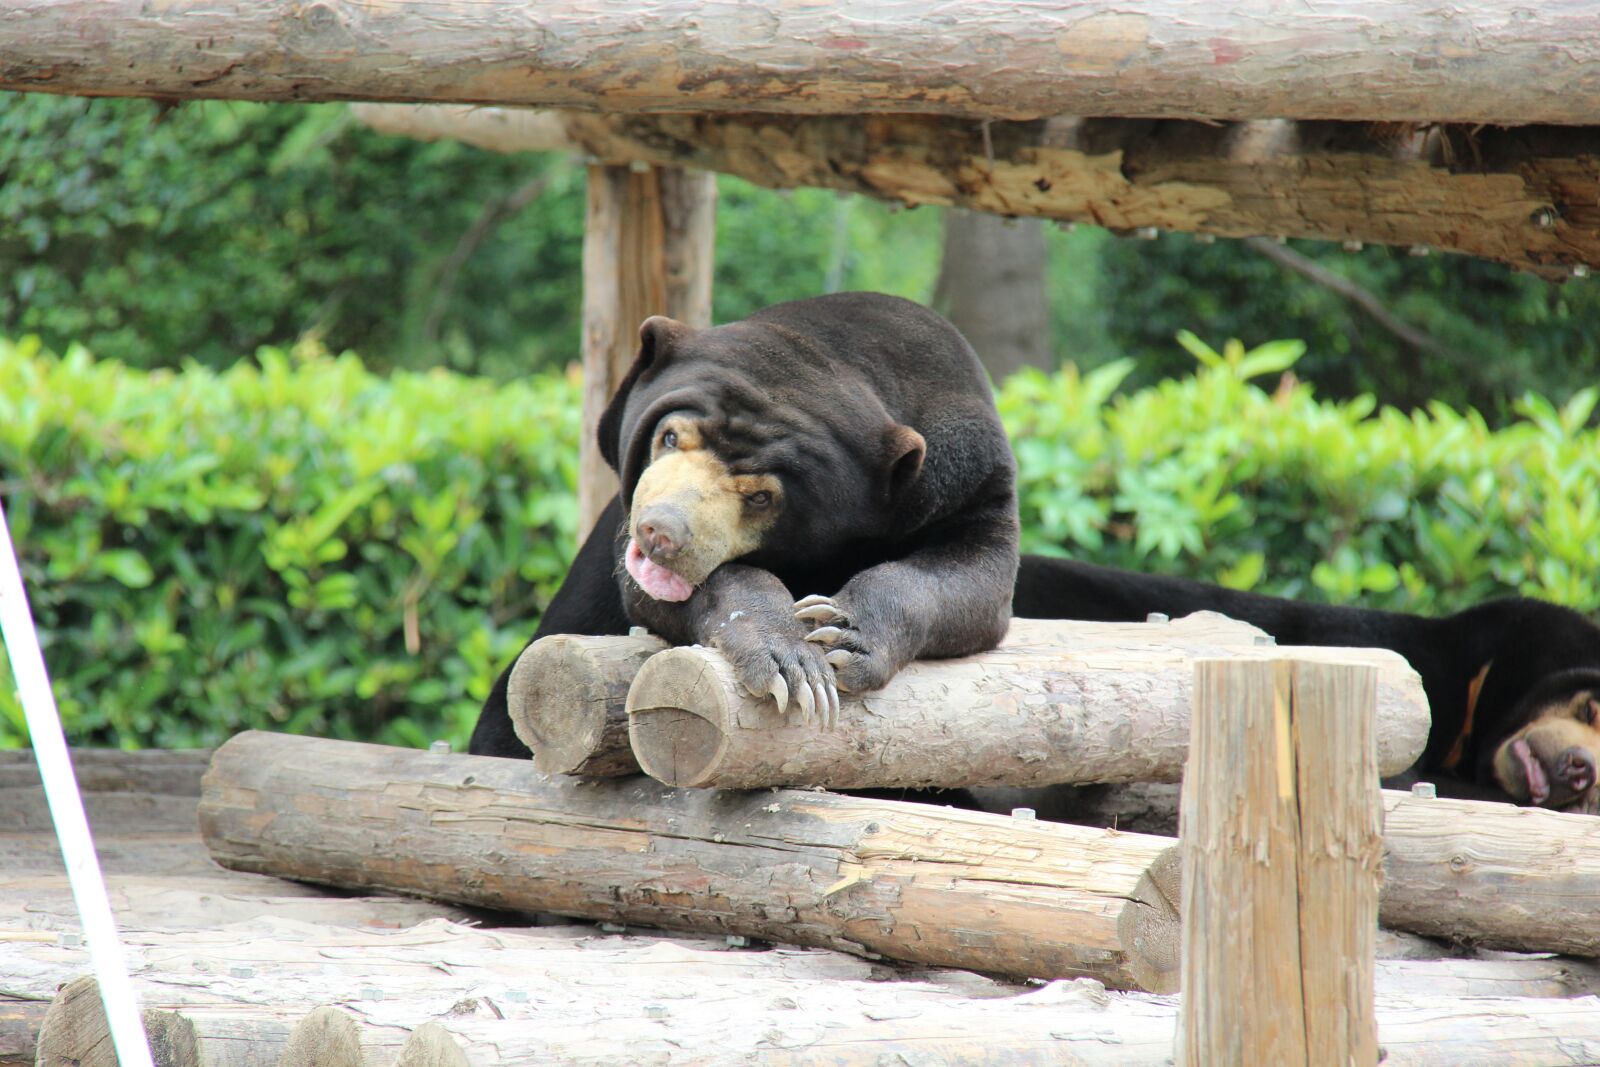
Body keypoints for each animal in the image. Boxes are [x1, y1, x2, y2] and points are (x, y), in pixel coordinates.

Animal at [467, 292, 1017, 758]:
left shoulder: (971, 478)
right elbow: (663, 593)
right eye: (669, 437)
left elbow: (976, 580)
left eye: (760, 496)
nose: (660, 534)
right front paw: (791, 665)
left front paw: (842, 636)